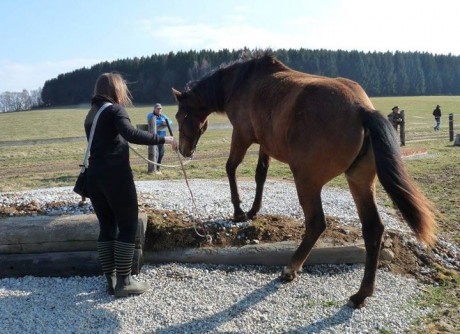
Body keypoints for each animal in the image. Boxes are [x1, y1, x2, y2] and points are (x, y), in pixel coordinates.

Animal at [172, 53, 434, 310]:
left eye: (179, 115)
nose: (183, 149)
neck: (240, 82)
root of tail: (362, 110)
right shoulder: (265, 144)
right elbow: (260, 174)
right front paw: (254, 210)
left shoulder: (242, 135)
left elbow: (231, 168)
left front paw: (238, 210)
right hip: (359, 182)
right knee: (373, 229)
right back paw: (361, 294)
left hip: (307, 181)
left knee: (316, 223)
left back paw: (292, 267)